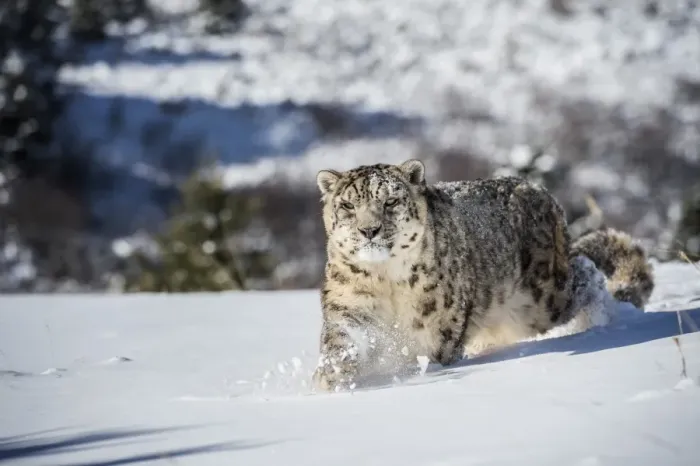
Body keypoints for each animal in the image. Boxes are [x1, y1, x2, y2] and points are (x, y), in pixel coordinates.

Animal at [311, 159, 654, 392]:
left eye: (391, 201)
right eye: (348, 205)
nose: (369, 230)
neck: (385, 280)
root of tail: (541, 191)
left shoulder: (437, 329)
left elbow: (426, 357)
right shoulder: (349, 307)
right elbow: (341, 344)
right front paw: (330, 380)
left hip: (543, 301)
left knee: (586, 273)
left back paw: (599, 320)